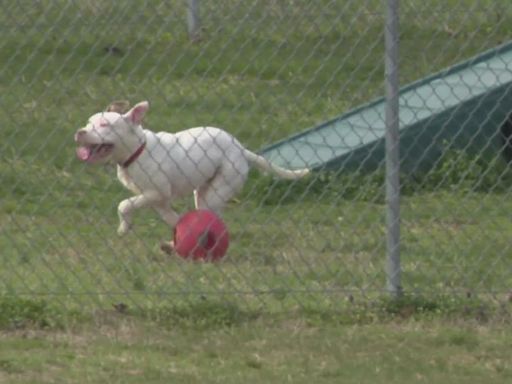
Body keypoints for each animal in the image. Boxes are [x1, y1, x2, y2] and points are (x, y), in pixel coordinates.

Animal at [74, 99, 310, 243]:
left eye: (104, 125)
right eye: (88, 122)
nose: (80, 132)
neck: (137, 151)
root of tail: (240, 148)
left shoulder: (157, 192)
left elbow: (124, 205)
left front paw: (123, 227)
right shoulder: (158, 200)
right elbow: (173, 219)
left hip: (218, 189)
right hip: (203, 192)